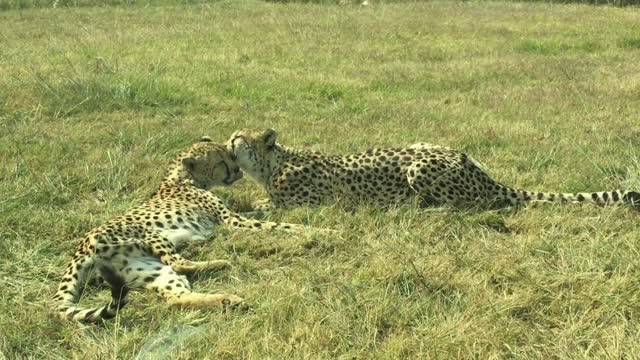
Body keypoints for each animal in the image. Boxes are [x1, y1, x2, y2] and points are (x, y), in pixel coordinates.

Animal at [55, 136, 322, 322]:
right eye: (222, 162)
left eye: (229, 155)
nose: (237, 170)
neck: (182, 179)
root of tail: (80, 249)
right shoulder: (231, 221)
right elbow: (278, 225)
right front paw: (320, 231)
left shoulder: (230, 217)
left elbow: (263, 214)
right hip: (150, 234)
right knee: (180, 263)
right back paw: (221, 263)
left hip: (144, 269)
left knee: (176, 297)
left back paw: (228, 300)